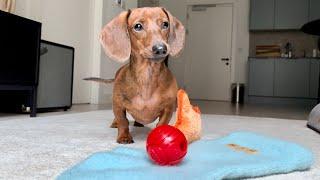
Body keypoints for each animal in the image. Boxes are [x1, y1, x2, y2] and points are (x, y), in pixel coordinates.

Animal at [87, 7, 184, 144]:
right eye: (138, 26)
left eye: (165, 24)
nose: (161, 49)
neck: (147, 77)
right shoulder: (118, 105)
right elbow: (123, 121)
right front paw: (124, 137)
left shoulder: (168, 108)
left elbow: (161, 124)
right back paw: (115, 123)